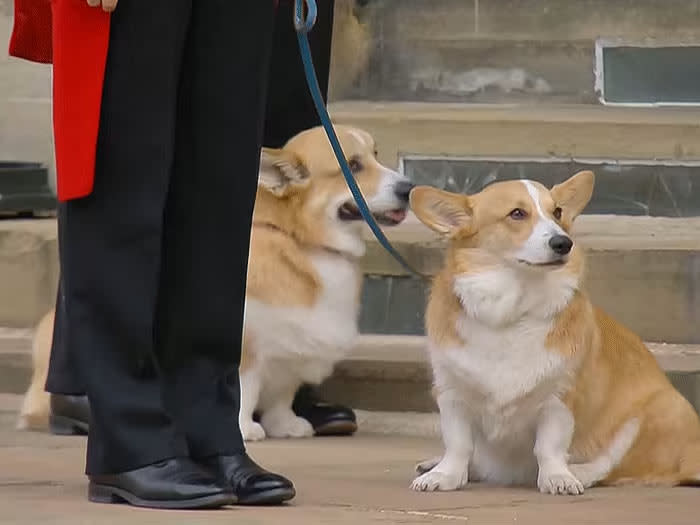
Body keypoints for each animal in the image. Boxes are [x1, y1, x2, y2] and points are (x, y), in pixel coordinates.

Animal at [408, 170, 700, 494]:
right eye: (517, 213)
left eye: (557, 212)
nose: (564, 243)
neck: (512, 310)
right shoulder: (452, 393)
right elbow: (458, 443)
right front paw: (445, 474)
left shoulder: (559, 398)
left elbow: (549, 446)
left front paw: (557, 477)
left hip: (658, 409)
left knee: (614, 465)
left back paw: (579, 473)